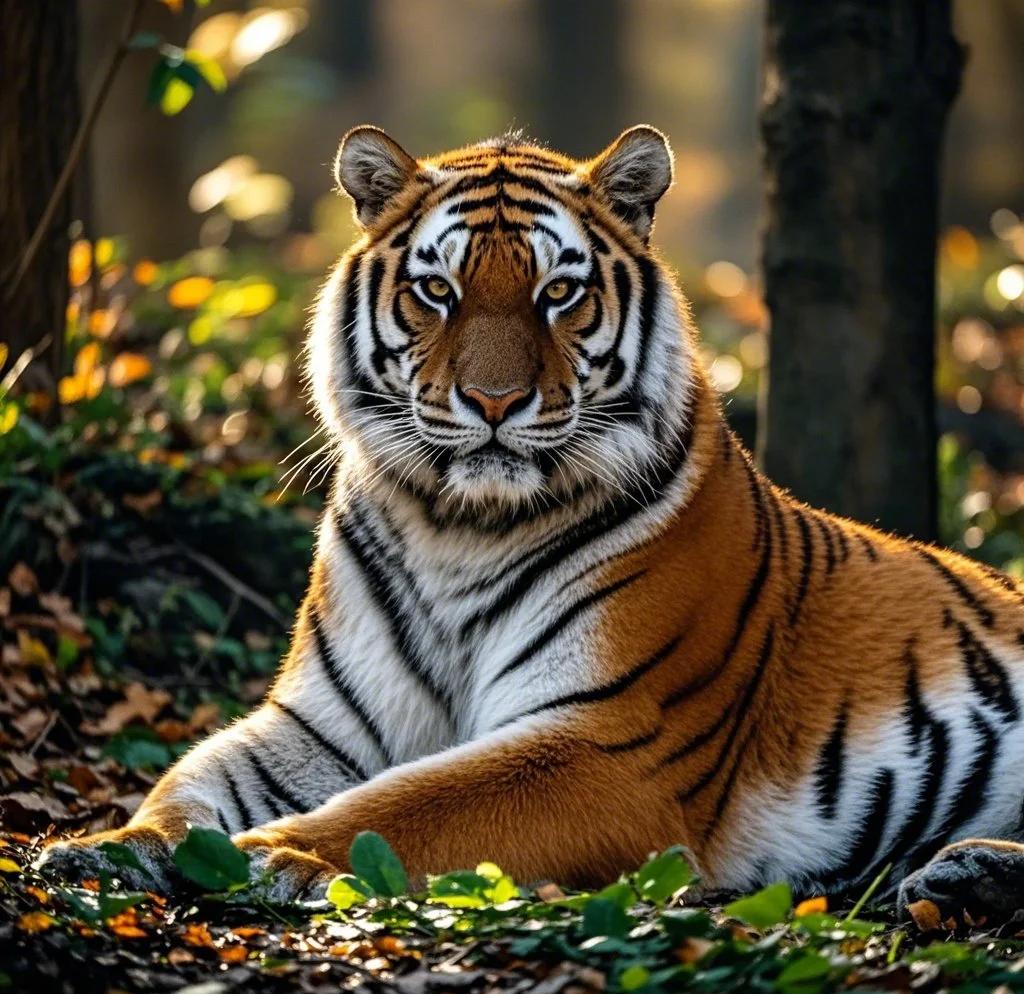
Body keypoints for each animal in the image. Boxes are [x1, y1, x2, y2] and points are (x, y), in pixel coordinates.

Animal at [37, 125, 1024, 921]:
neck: (456, 528)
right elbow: (192, 778)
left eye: (558, 293)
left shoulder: (611, 745)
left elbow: (414, 804)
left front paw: (276, 854)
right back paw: (959, 874)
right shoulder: (318, 723)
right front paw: (112, 848)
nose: (494, 401)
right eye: (437, 290)